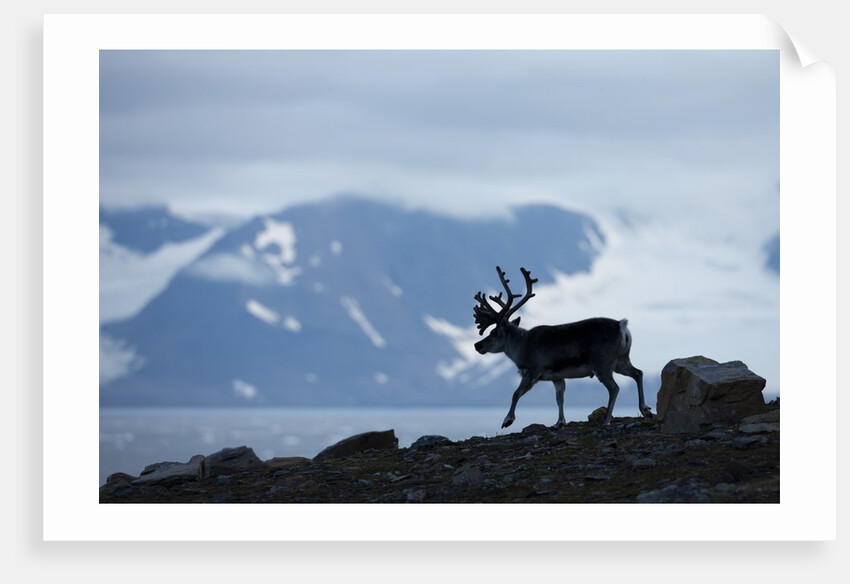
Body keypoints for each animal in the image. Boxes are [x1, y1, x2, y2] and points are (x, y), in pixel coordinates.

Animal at [473, 266, 653, 429]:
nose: (477, 345)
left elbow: (515, 394)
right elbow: (559, 398)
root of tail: (621, 325)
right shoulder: (557, 377)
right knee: (638, 373)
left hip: (602, 364)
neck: (520, 345)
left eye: (494, 332)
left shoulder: (533, 371)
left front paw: (507, 420)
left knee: (615, 388)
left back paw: (606, 420)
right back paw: (645, 410)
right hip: (621, 360)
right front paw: (560, 422)